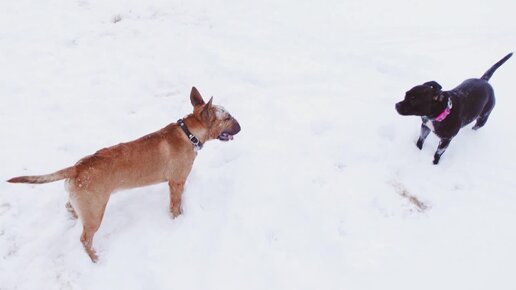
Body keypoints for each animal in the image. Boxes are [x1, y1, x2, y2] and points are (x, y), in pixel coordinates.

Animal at [6, 87, 240, 262]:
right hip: (96, 212)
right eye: (227, 117)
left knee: (69, 208)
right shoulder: (176, 183)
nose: (241, 127)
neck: (189, 132)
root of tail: (77, 167)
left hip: (83, 204)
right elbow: (175, 206)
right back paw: (95, 258)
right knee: (85, 239)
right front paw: (178, 221)